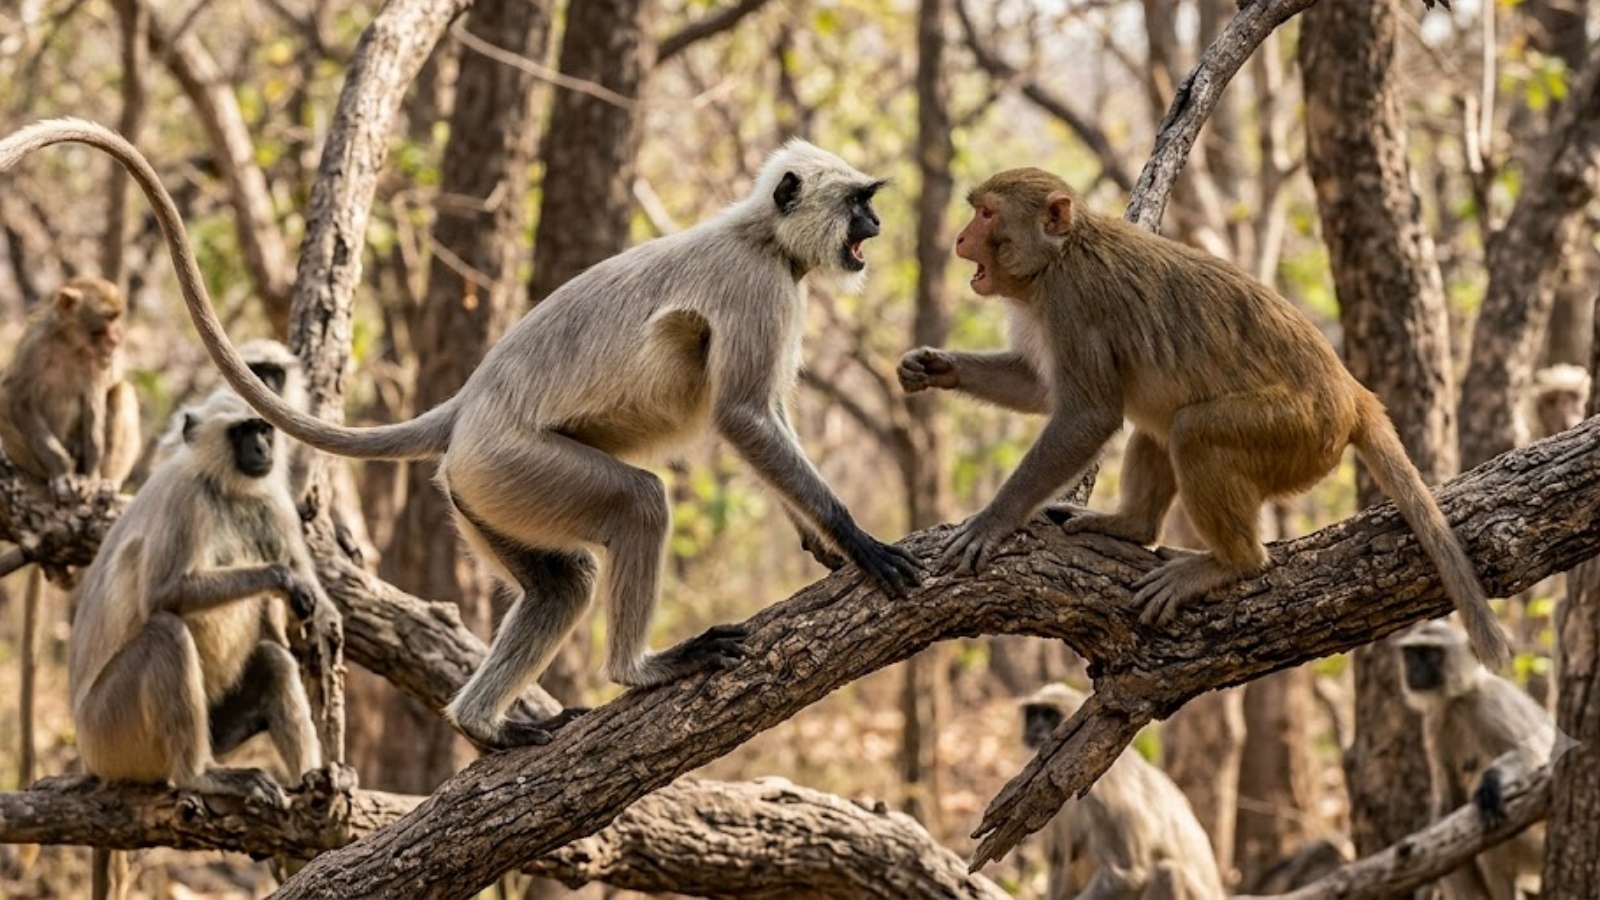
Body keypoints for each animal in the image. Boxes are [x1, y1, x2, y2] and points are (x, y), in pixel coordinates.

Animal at [0, 119, 922, 750]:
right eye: (861, 205)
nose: (877, 232)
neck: (758, 231)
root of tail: (469, 404)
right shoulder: (758, 284)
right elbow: (742, 416)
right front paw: (857, 540)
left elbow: (762, 420)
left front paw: (825, 548)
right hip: (511, 467)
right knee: (638, 504)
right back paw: (638, 669)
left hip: (479, 492)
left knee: (562, 584)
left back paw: (481, 722)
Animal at [899, 167, 1509, 668]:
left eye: (986, 214)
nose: (959, 239)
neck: (1060, 256)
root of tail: (1351, 393)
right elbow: (1037, 387)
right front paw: (935, 367)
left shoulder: (1074, 302)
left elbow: (1087, 416)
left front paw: (991, 521)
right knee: (1159, 422)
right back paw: (1131, 525)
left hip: (1298, 433)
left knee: (1194, 432)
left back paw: (1231, 563)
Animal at [1020, 683, 1226, 900]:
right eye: (1033, 714)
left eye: (1049, 715)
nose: (1035, 728)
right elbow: (1059, 859)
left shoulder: (1104, 794)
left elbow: (1126, 877)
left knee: (1167, 872)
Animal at [1398, 621, 1552, 900]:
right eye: (1411, 654)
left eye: (1429, 654)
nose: (1414, 669)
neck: (1458, 699)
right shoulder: (1435, 719)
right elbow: (1447, 801)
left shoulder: (1489, 704)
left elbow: (1535, 755)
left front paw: (1491, 783)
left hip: (1536, 840)